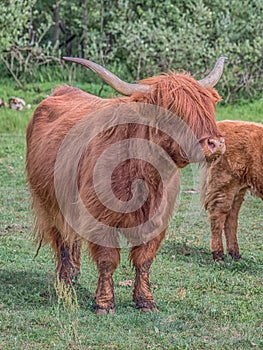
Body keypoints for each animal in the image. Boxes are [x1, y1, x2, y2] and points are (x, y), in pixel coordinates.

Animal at [27, 56, 227, 314]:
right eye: (172, 110)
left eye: (208, 106)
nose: (216, 143)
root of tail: (61, 90)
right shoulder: (100, 217)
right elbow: (107, 260)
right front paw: (104, 303)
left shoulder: (157, 219)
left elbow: (144, 260)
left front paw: (146, 301)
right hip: (49, 200)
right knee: (61, 236)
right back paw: (66, 276)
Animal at [201, 120, 262, 260]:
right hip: (225, 184)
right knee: (218, 216)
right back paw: (218, 255)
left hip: (238, 189)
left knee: (231, 217)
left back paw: (235, 254)